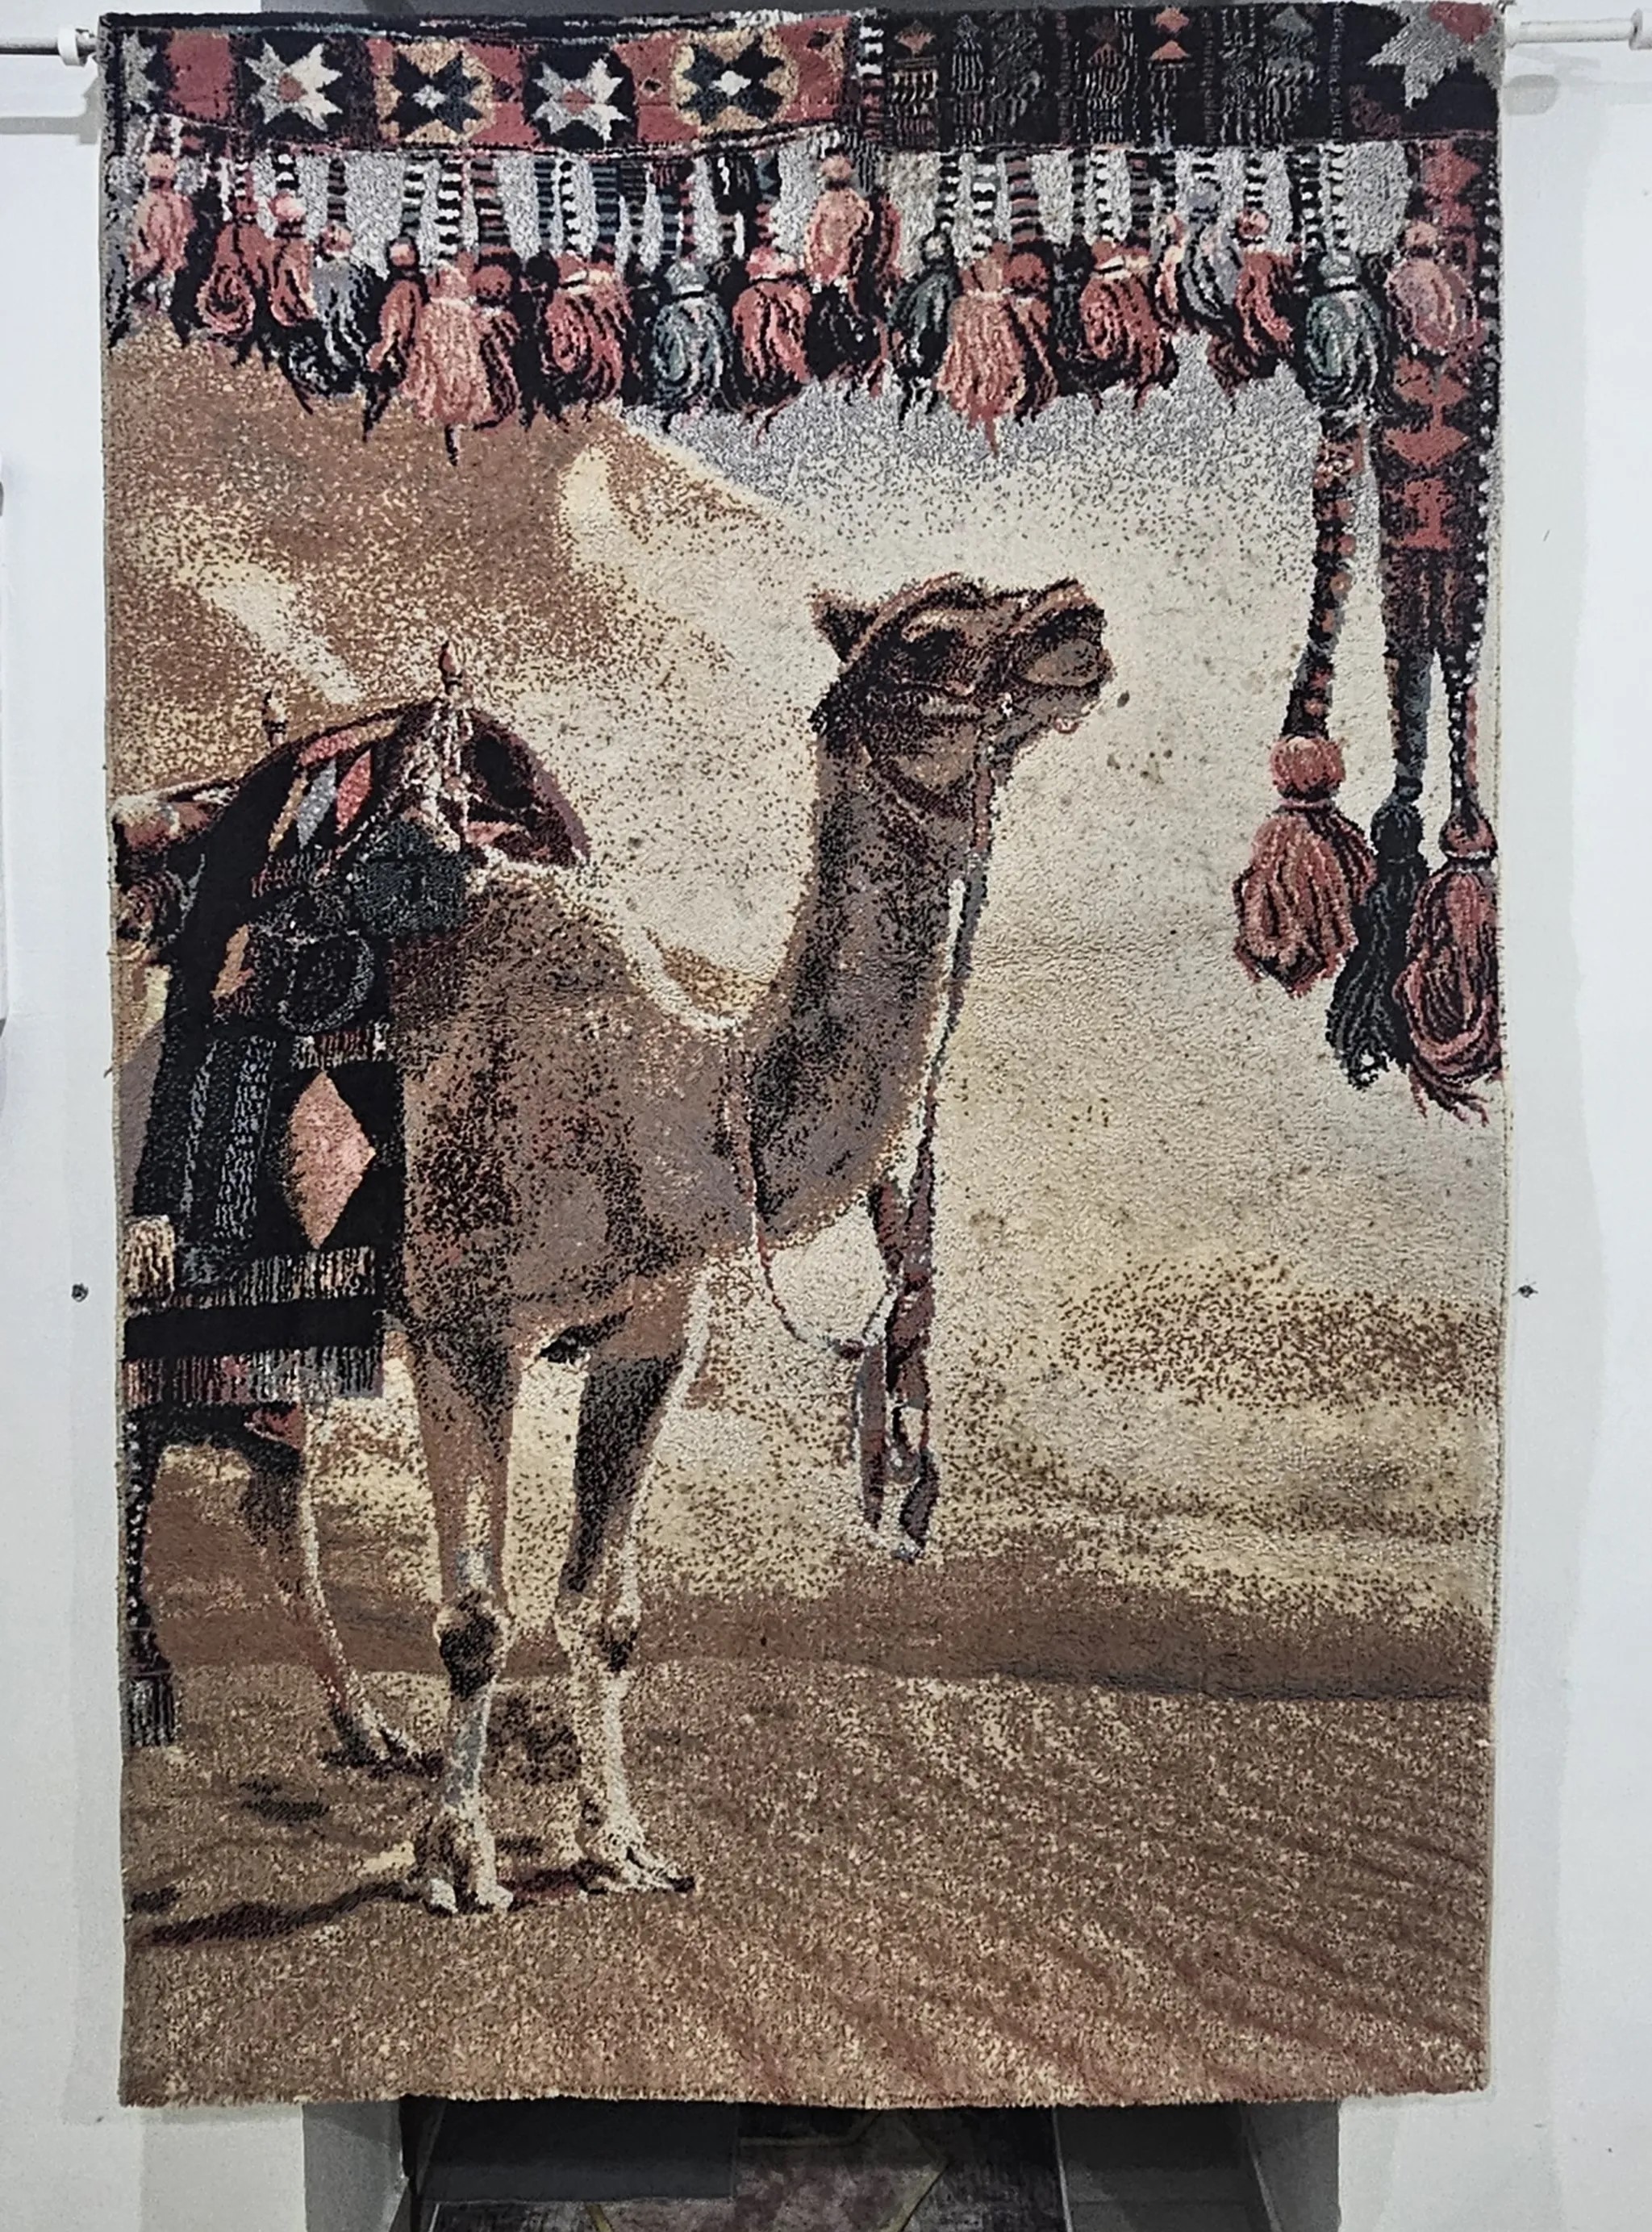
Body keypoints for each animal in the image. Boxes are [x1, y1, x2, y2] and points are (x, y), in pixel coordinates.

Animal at [116, 571, 1112, 1909]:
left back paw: (366, 1730)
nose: (1077, 618)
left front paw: (617, 1842)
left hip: (295, 1308)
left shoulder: (649, 1335)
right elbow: (474, 1620)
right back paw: (149, 1712)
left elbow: (606, 1613)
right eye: (927, 638)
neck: (669, 1111)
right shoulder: (465, 1325)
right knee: (140, 1449)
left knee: (277, 1490)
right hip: (163, 1271)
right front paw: (459, 1860)